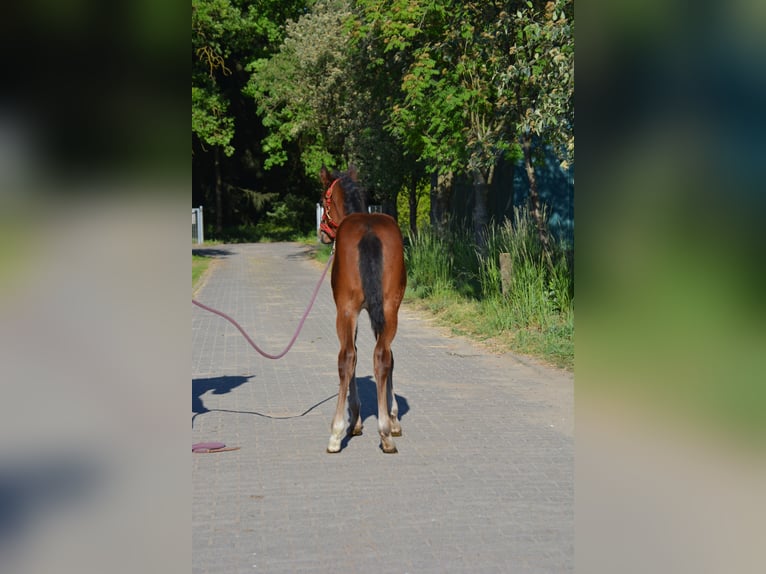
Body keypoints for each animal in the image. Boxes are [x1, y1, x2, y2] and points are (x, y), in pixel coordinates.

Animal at [320, 166, 408, 454]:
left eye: (323, 201)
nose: (322, 234)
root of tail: (369, 232)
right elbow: (388, 358)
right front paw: (392, 419)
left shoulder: (351, 311)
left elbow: (353, 357)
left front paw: (355, 420)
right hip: (390, 308)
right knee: (383, 355)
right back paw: (386, 434)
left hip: (346, 311)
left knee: (347, 357)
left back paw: (336, 434)